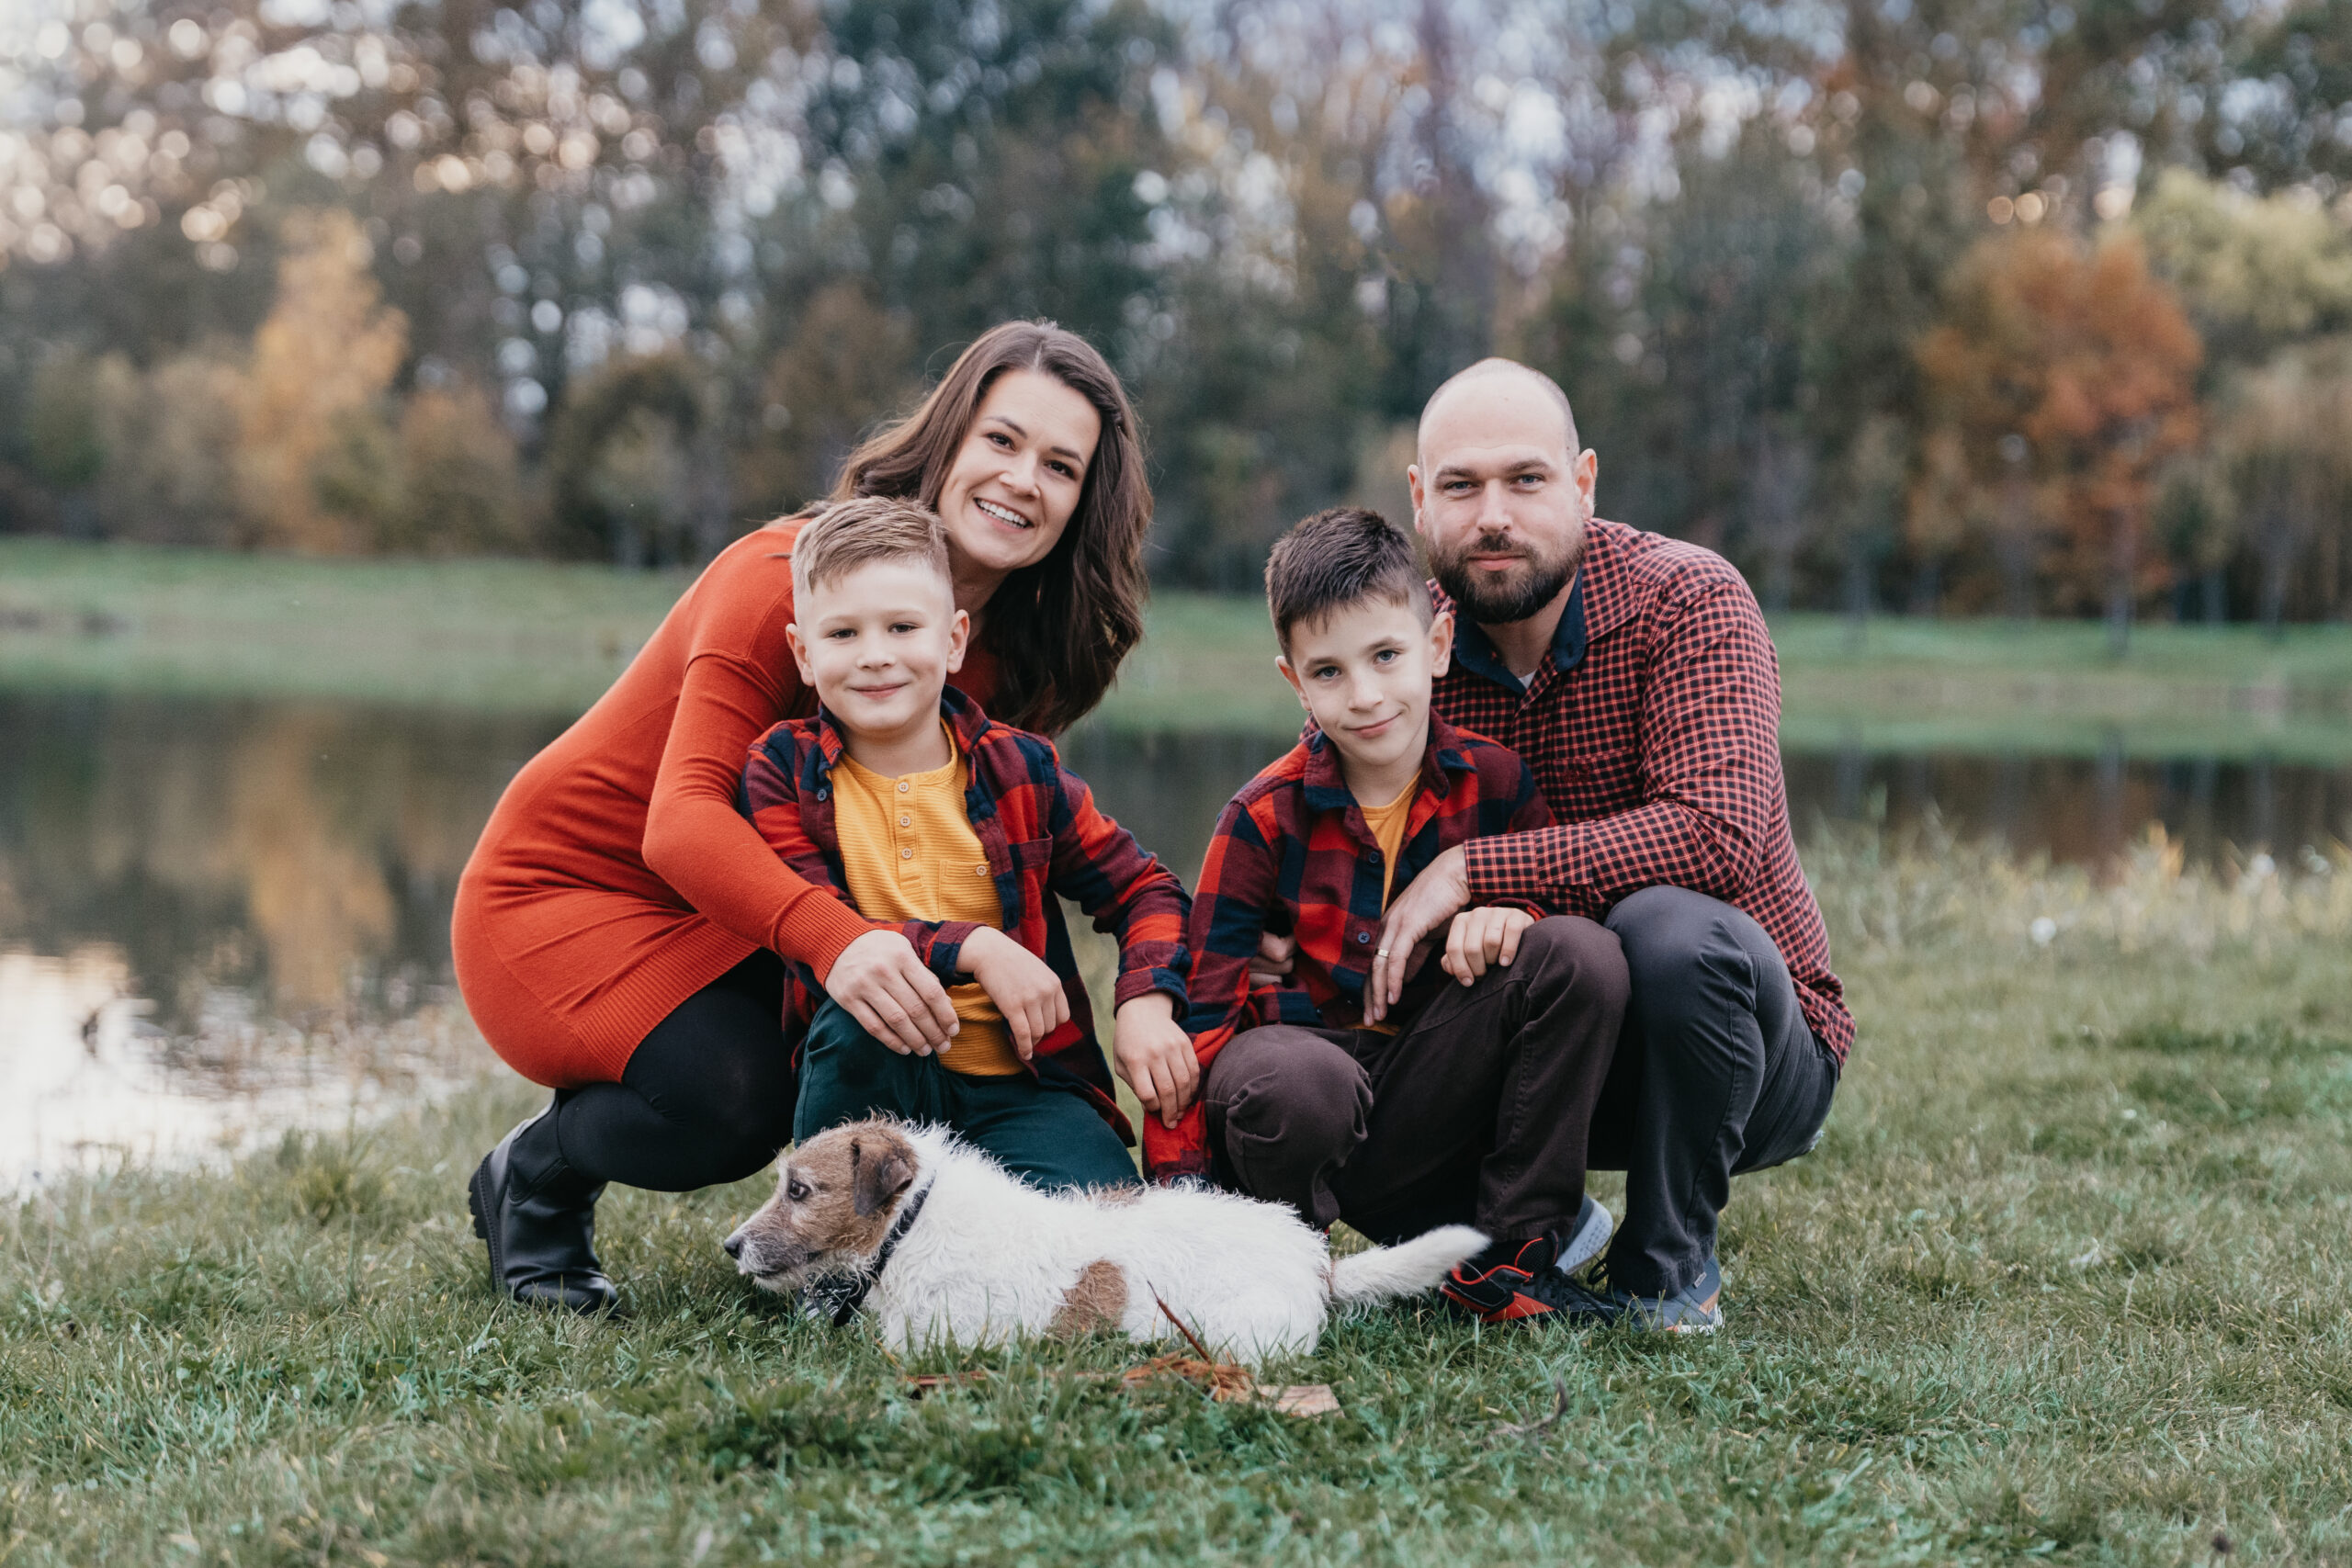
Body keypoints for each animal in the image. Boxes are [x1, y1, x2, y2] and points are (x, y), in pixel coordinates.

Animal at [722, 1117, 1487, 1366]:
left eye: (799, 1190)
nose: (730, 1245)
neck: (912, 1225)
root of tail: (1315, 1262)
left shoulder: (931, 1341)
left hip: (1239, 1333)